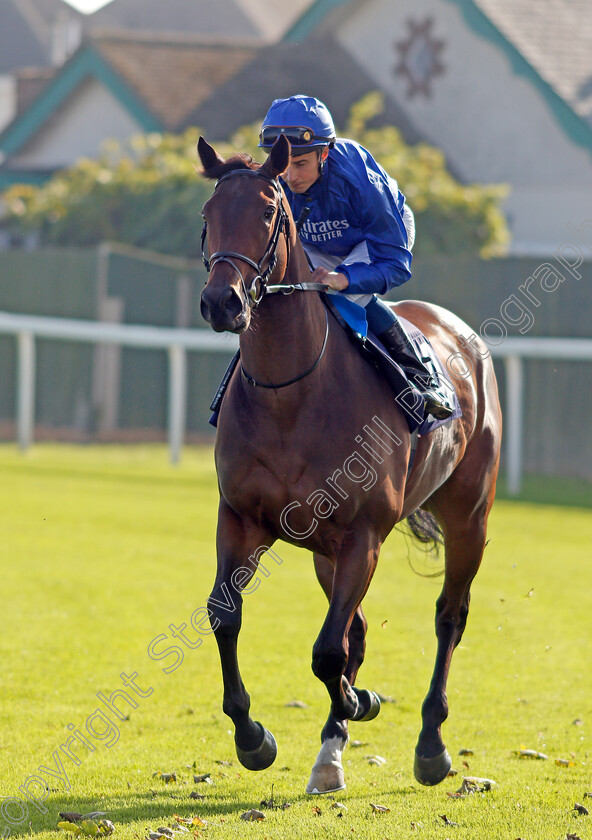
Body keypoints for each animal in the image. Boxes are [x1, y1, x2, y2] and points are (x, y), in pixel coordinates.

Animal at [198, 135, 500, 796]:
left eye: (268, 213)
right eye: (207, 214)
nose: (221, 302)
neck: (289, 394)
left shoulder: (365, 533)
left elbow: (328, 652)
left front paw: (358, 704)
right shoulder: (242, 519)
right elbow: (226, 616)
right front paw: (253, 738)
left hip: (468, 517)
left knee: (449, 617)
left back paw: (430, 744)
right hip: (324, 551)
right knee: (355, 628)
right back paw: (334, 747)